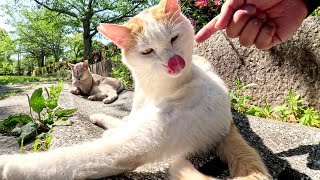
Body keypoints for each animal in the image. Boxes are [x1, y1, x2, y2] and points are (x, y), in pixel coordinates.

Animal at [0, 0, 270, 179]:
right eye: (147, 51)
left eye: (174, 38)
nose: (175, 63)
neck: (156, 89)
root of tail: (229, 122)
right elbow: (125, 119)